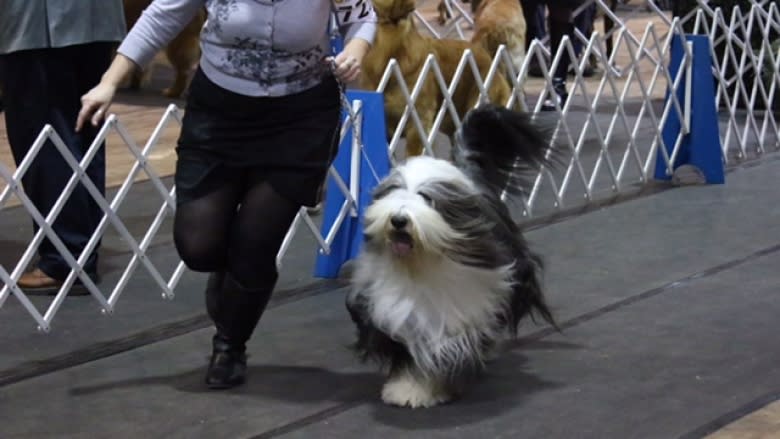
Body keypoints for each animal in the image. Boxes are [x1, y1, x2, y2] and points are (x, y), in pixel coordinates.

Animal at [344, 103, 556, 410]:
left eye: (427, 198)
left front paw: (431, 385)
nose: (398, 220)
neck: (420, 268)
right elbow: (409, 352)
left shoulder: (463, 305)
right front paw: (408, 388)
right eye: (394, 192)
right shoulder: (395, 310)